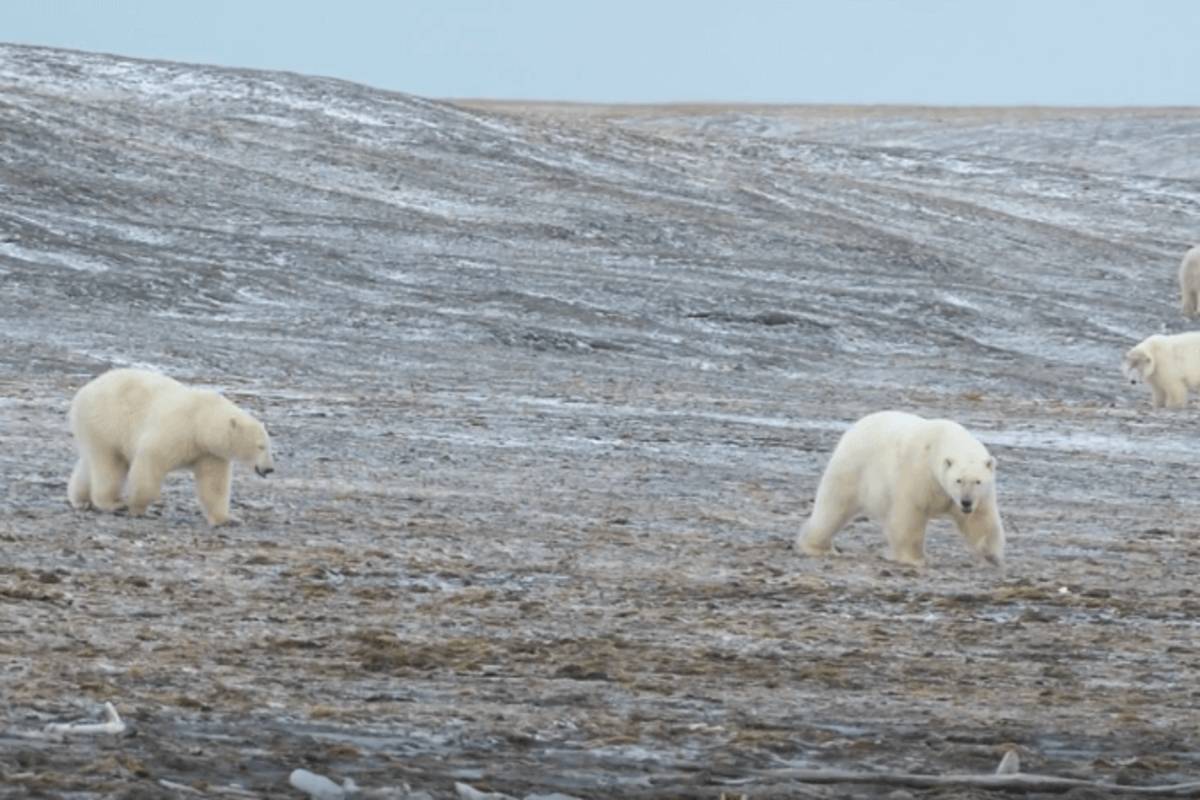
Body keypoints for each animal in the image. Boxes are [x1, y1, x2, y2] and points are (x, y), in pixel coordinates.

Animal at [67, 368, 274, 525]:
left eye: (268, 445)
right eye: (260, 446)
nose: (269, 469)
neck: (200, 423)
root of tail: (83, 392)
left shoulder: (209, 453)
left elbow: (214, 484)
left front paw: (228, 519)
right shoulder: (177, 431)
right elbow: (151, 461)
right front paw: (138, 506)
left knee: (90, 463)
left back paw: (81, 500)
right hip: (107, 423)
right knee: (110, 464)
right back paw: (113, 503)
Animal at [795, 410, 1005, 567]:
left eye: (978, 481)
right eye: (958, 480)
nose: (966, 502)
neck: (940, 442)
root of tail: (855, 427)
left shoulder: (978, 497)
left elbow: (980, 520)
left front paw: (991, 555)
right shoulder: (919, 475)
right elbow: (910, 515)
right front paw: (914, 558)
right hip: (853, 468)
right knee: (833, 507)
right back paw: (819, 546)